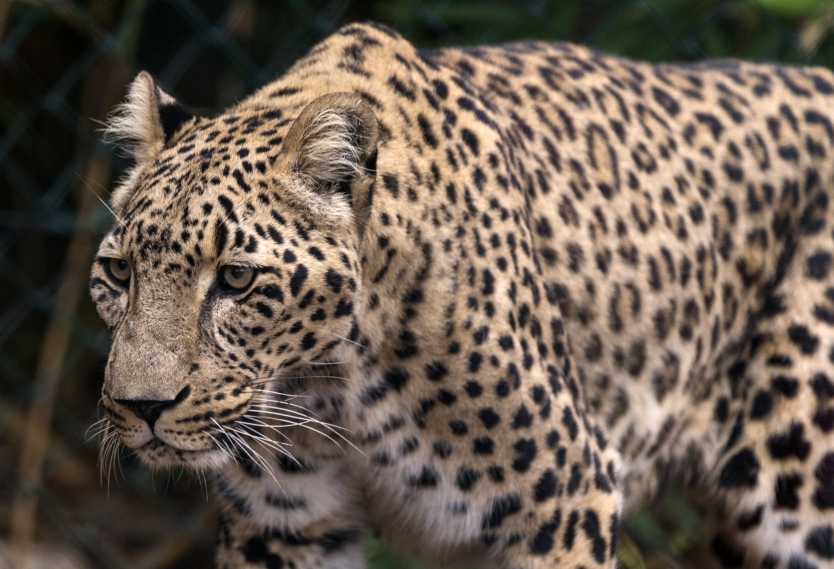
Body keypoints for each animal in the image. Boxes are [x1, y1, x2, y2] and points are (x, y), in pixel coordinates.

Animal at [86, 20, 834, 564]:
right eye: (119, 274)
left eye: (236, 278)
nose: (141, 407)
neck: (333, 384)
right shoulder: (282, 526)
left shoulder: (569, 500)